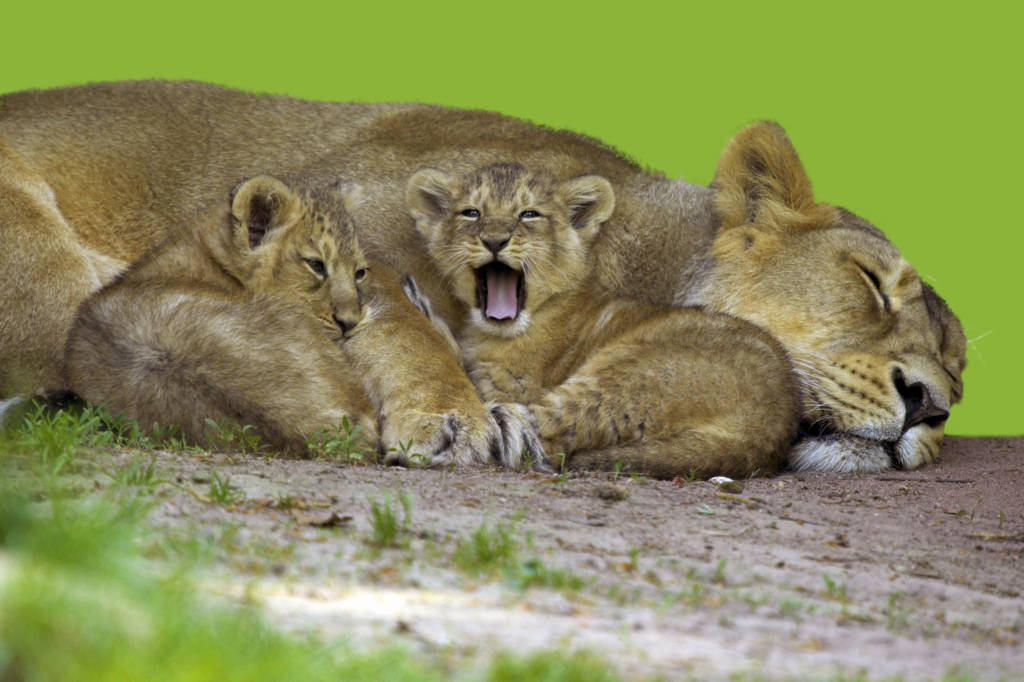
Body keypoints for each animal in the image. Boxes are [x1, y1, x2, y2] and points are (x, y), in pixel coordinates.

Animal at [406, 162, 800, 478]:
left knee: (530, 432)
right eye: (471, 212)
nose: (494, 240)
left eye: (529, 214)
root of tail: (765, 432)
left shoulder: (514, 385)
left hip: (631, 373)